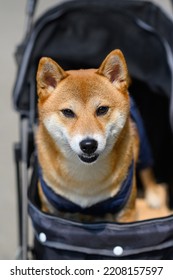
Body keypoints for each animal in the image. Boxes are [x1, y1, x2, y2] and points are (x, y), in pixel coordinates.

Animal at [35, 49, 162, 222]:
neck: (85, 178)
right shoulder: (50, 209)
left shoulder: (126, 211)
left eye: (102, 109)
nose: (88, 145)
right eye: (68, 112)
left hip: (142, 143)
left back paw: (154, 195)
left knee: (147, 169)